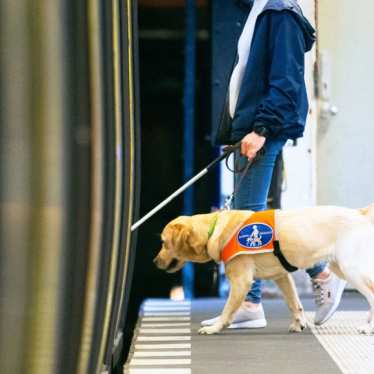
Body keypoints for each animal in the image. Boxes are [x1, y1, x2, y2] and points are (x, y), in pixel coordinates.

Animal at [154, 205, 374, 336]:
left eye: (164, 243)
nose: (155, 262)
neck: (214, 229)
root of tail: (359, 213)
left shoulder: (241, 281)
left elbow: (227, 309)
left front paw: (216, 327)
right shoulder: (281, 276)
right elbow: (294, 303)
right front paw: (299, 324)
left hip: (351, 269)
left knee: (372, 295)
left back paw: (368, 327)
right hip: (340, 266)